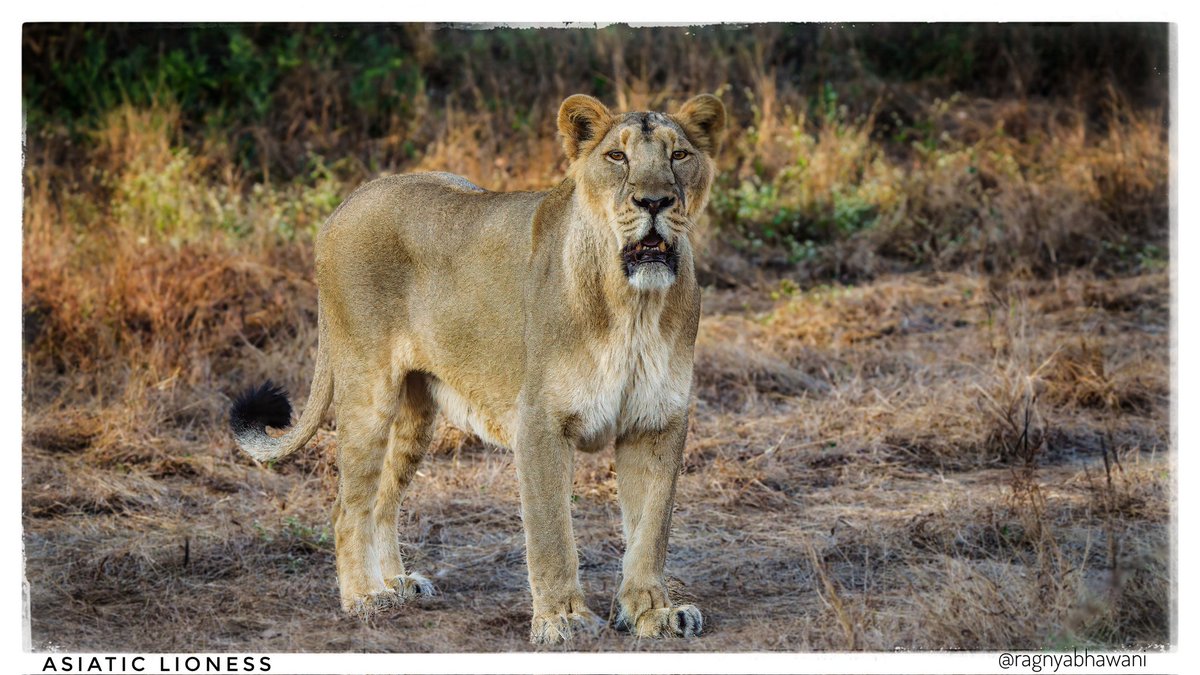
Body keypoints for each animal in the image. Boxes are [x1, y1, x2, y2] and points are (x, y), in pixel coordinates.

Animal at [230, 93, 725, 644]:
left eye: (679, 155)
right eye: (617, 157)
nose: (654, 202)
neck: (633, 303)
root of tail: (346, 203)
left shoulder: (657, 422)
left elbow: (650, 529)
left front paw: (652, 612)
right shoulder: (540, 424)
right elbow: (552, 532)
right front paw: (563, 619)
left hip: (415, 412)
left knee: (382, 499)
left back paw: (397, 583)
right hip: (366, 389)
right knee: (347, 506)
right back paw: (364, 597)